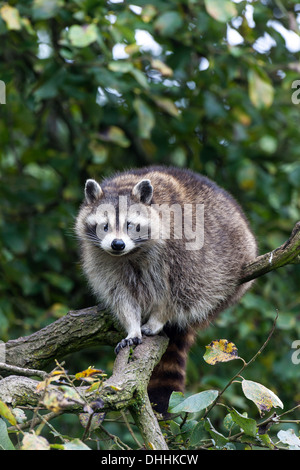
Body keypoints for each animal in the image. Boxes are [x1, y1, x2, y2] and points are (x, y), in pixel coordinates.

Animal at [75, 166, 258, 414]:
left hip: (233, 261)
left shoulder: (183, 242)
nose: (117, 244)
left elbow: (184, 289)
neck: (131, 253)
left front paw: (159, 318)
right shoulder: (101, 258)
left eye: (130, 225)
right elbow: (120, 295)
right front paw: (132, 326)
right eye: (104, 226)